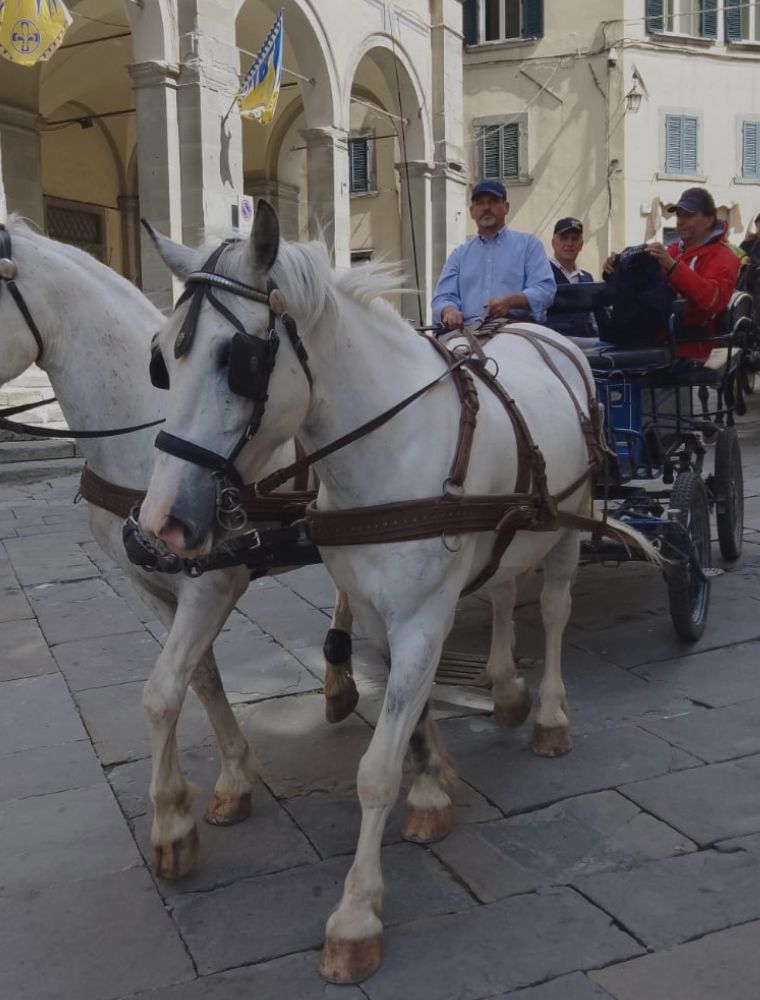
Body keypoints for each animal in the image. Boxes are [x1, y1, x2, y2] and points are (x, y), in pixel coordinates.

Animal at [0, 223, 360, 880]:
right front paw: (236, 779)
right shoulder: (145, 582)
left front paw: (170, 822)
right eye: (160, 357)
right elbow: (203, 679)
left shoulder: (214, 580)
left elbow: (162, 690)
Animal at [135, 205, 652, 984]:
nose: (160, 520)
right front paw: (433, 784)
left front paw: (355, 918)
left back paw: (549, 716)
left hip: (571, 517)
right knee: (505, 589)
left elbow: (375, 770)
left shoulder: (422, 614)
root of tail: (545, 334)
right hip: (511, 527)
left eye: (240, 360)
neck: (391, 448)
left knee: (555, 610)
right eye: (164, 357)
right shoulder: (381, 612)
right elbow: (412, 710)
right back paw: (505, 689)